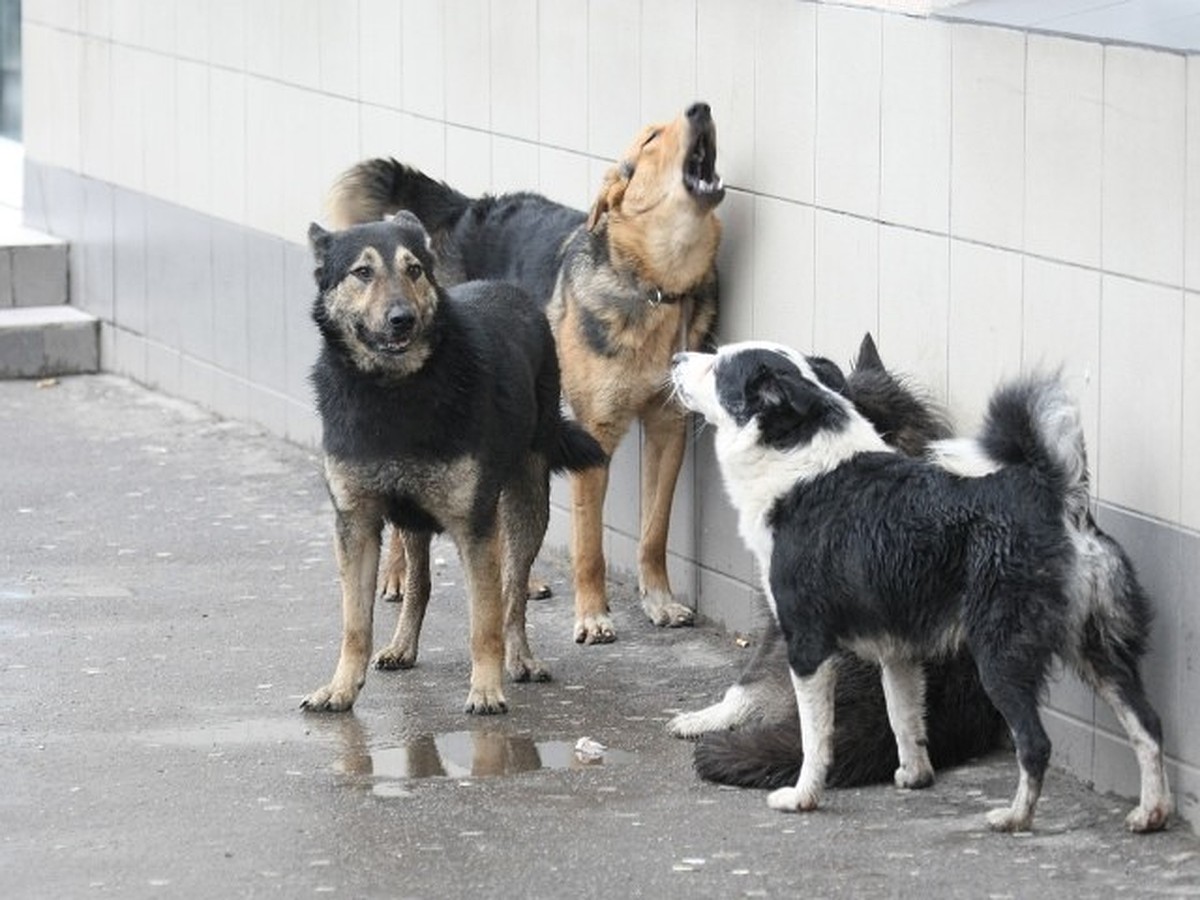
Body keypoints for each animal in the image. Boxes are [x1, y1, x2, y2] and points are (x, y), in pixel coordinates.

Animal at [296, 214, 604, 715]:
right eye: (362, 272)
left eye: (414, 270)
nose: (402, 319)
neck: (394, 391)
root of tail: (508, 288)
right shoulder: (356, 526)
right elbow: (355, 624)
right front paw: (341, 687)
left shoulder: (474, 527)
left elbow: (485, 620)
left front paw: (486, 689)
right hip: (411, 519)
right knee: (419, 583)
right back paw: (402, 646)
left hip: (525, 505)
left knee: (512, 591)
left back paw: (520, 657)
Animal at [324, 102, 724, 643]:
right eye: (651, 138)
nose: (701, 108)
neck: (654, 286)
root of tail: (467, 208)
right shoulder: (596, 434)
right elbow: (589, 543)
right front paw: (593, 614)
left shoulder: (668, 429)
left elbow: (653, 532)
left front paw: (658, 600)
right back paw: (397, 574)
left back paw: (518, 578)